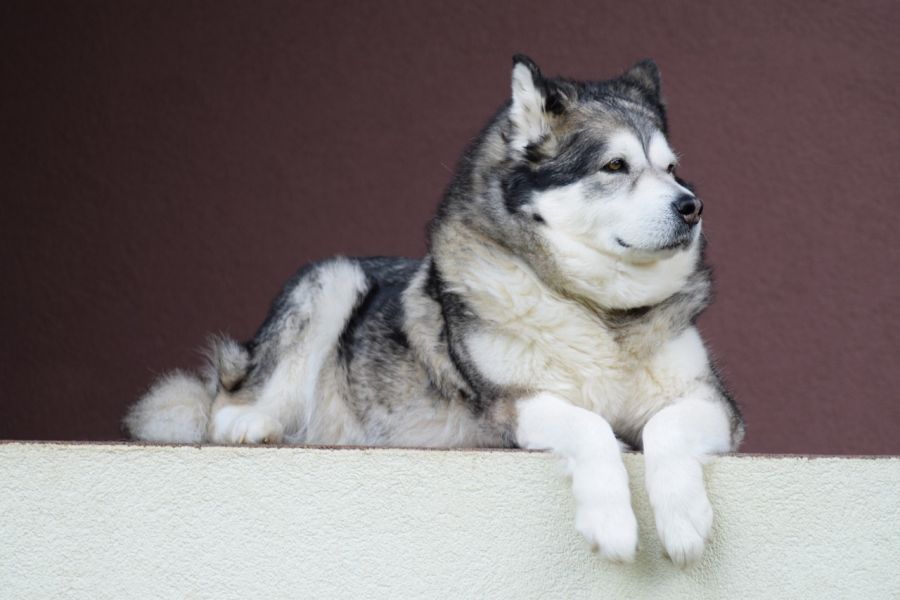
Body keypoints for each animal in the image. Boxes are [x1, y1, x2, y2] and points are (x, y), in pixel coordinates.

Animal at [126, 56, 744, 568]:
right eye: (615, 166)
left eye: (671, 169)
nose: (692, 207)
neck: (597, 310)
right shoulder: (513, 405)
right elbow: (589, 425)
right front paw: (612, 522)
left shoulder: (716, 407)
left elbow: (665, 425)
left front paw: (683, 519)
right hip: (332, 277)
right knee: (226, 403)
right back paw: (253, 423)